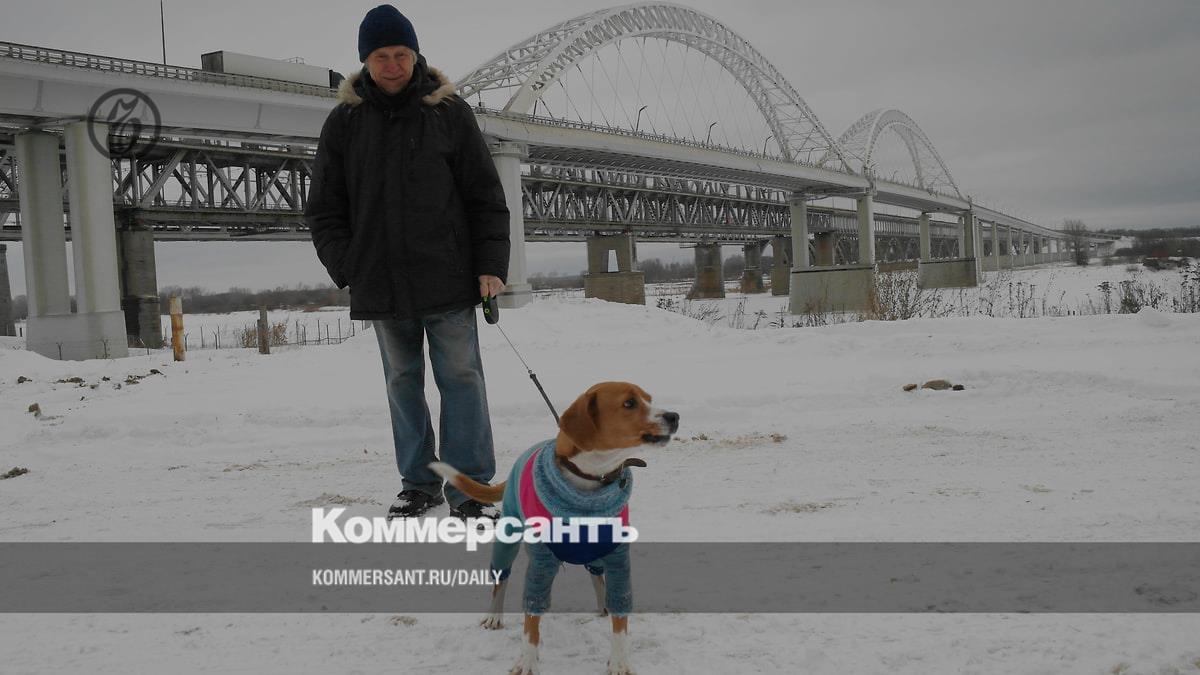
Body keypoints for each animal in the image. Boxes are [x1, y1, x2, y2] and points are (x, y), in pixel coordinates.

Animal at [431, 381, 679, 675]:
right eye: (629, 403)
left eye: (649, 399)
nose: (674, 416)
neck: (590, 479)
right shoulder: (541, 563)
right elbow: (531, 616)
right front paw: (527, 660)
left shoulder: (617, 558)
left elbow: (620, 615)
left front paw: (619, 661)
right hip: (507, 542)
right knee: (500, 580)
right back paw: (494, 615)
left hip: (594, 556)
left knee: (596, 576)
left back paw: (602, 604)